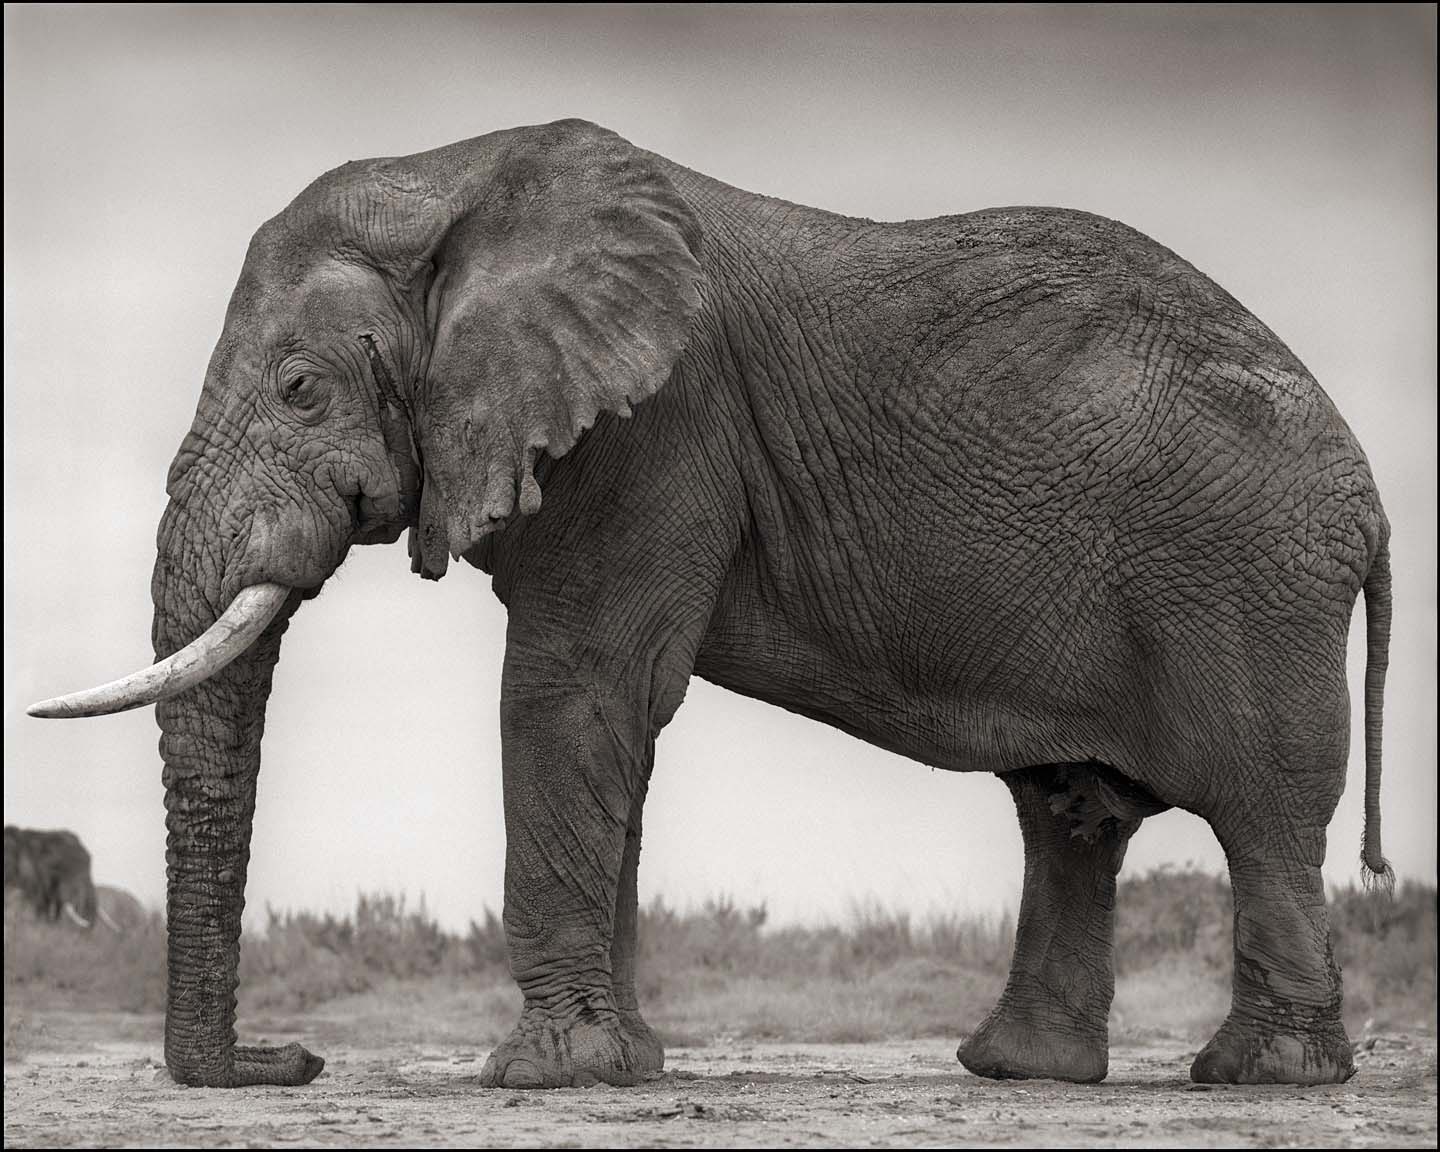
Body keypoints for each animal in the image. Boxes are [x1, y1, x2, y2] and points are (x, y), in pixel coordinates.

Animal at [28, 116, 1388, 1088]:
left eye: (301, 388)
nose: (294, 1061)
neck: (458, 180)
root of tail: (1369, 498)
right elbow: (610, 723)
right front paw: (624, 1069)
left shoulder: (657, 430)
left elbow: (570, 696)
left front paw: (548, 1078)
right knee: (1071, 816)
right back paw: (1026, 1072)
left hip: (1250, 586)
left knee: (1264, 815)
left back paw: (1261, 1078)